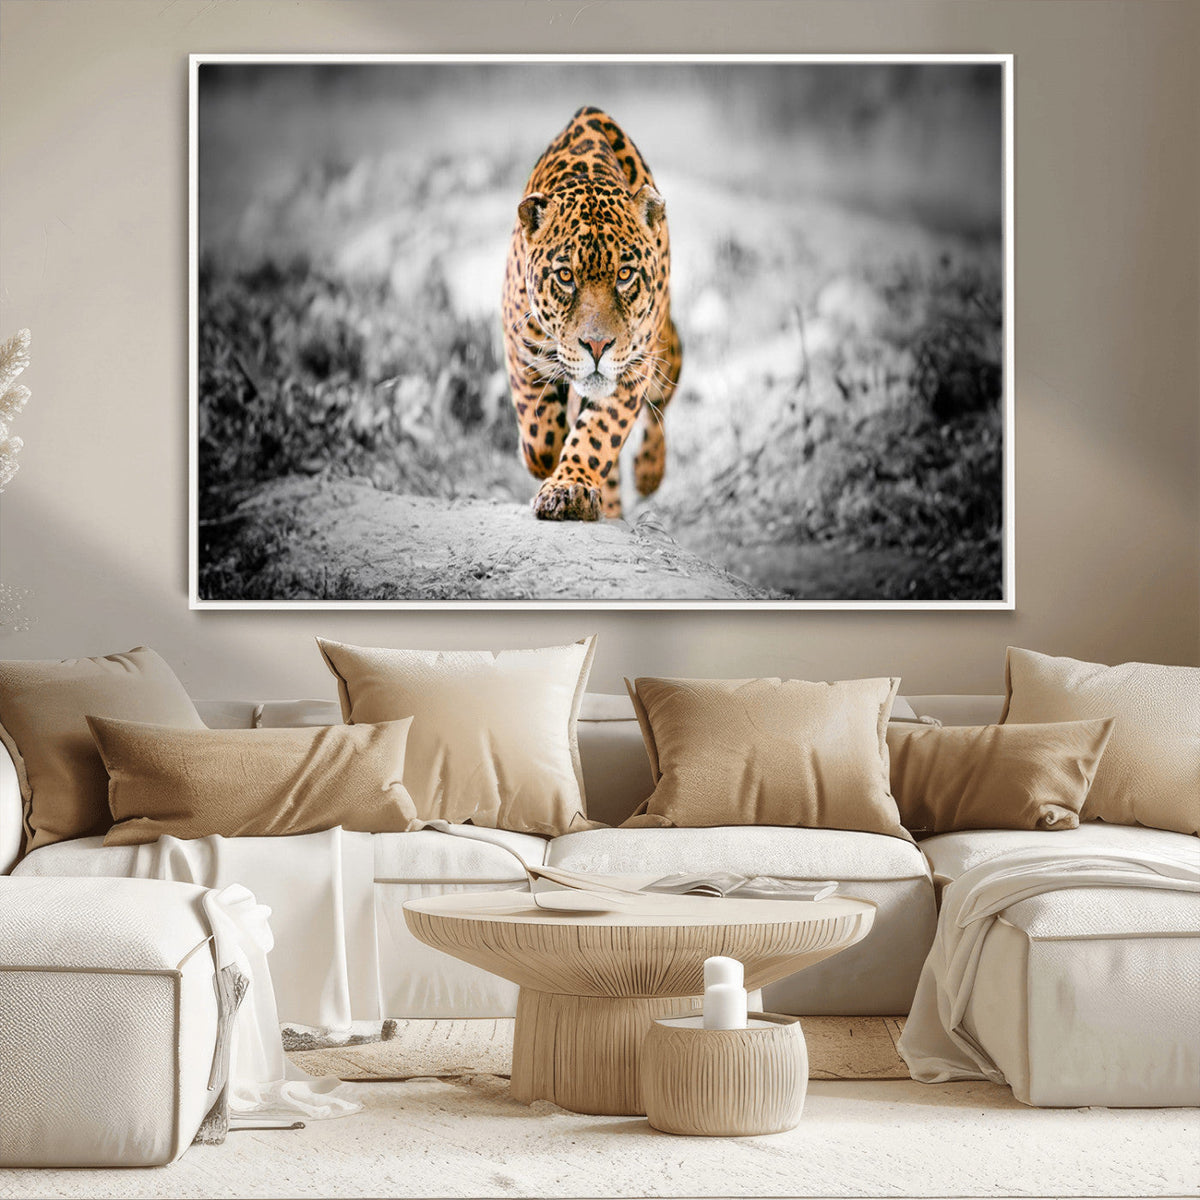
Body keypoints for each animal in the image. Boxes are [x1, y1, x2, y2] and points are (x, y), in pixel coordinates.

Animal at [501, 106, 683, 521]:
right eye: (566, 276)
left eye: (625, 274)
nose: (597, 346)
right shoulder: (520, 345)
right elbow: (539, 433)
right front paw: (544, 460)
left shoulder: (634, 366)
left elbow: (598, 434)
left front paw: (569, 488)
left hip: (665, 350)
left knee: (662, 401)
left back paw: (648, 473)